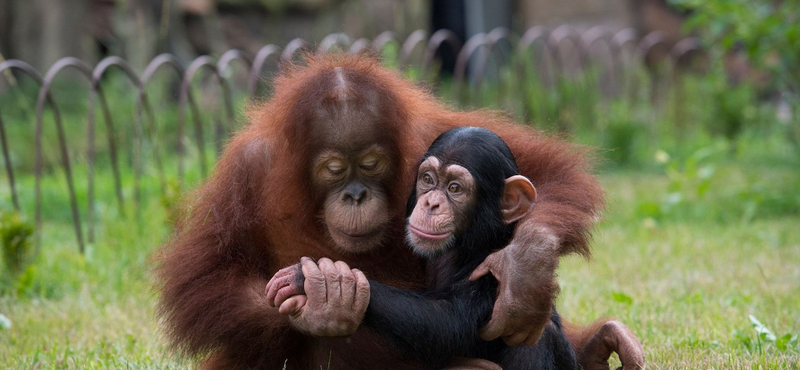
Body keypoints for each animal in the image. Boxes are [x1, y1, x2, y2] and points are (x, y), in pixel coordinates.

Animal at [268, 125, 576, 368]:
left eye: (454, 188)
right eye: (428, 180)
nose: (431, 203)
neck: (470, 242)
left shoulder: (492, 265)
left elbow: (450, 321)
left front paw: (312, 279)